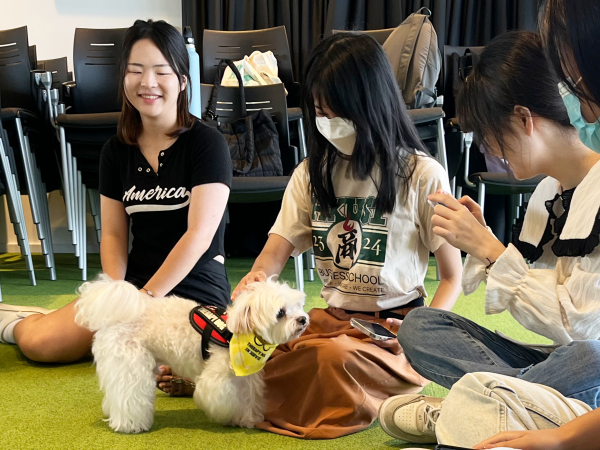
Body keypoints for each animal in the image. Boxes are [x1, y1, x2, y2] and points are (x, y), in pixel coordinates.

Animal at [75, 274, 310, 432]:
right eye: (280, 313)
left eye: (298, 306)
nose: (303, 319)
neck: (236, 334)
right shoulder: (218, 378)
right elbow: (222, 398)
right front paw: (229, 416)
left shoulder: (247, 378)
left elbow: (248, 399)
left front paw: (247, 419)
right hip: (130, 365)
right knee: (128, 395)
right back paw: (130, 424)